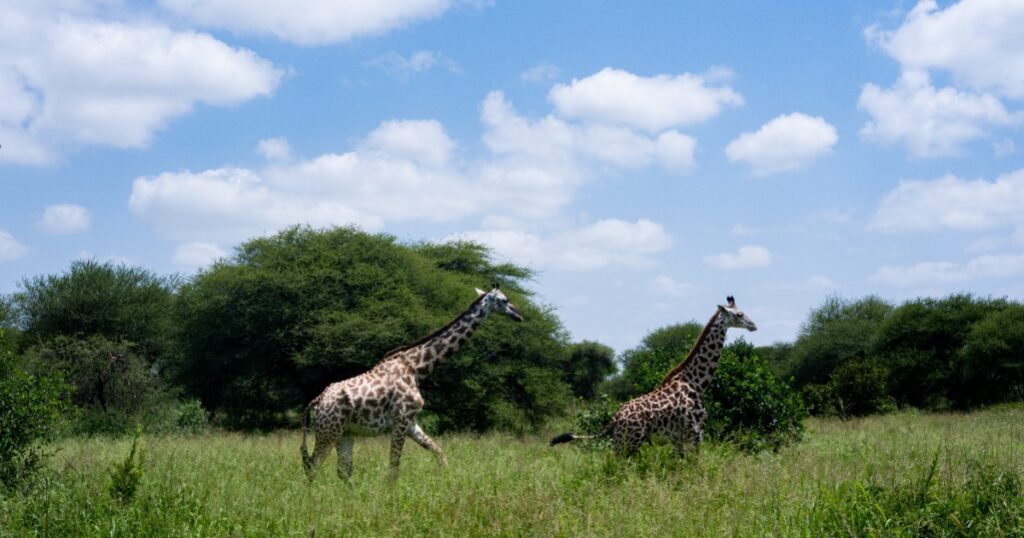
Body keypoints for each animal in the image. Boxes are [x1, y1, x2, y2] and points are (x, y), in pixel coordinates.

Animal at [296, 284, 520, 477]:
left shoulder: (411, 421)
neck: (416, 368)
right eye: (504, 300)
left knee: (343, 471)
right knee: (313, 467)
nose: (518, 314)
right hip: (328, 431)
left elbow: (440, 454)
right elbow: (394, 468)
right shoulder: (400, 420)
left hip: (345, 433)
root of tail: (316, 402)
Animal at [548, 295, 757, 454]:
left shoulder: (678, 437)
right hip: (628, 443)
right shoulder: (695, 432)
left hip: (624, 443)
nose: (753, 325)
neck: (696, 383)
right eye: (739, 314)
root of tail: (614, 419)